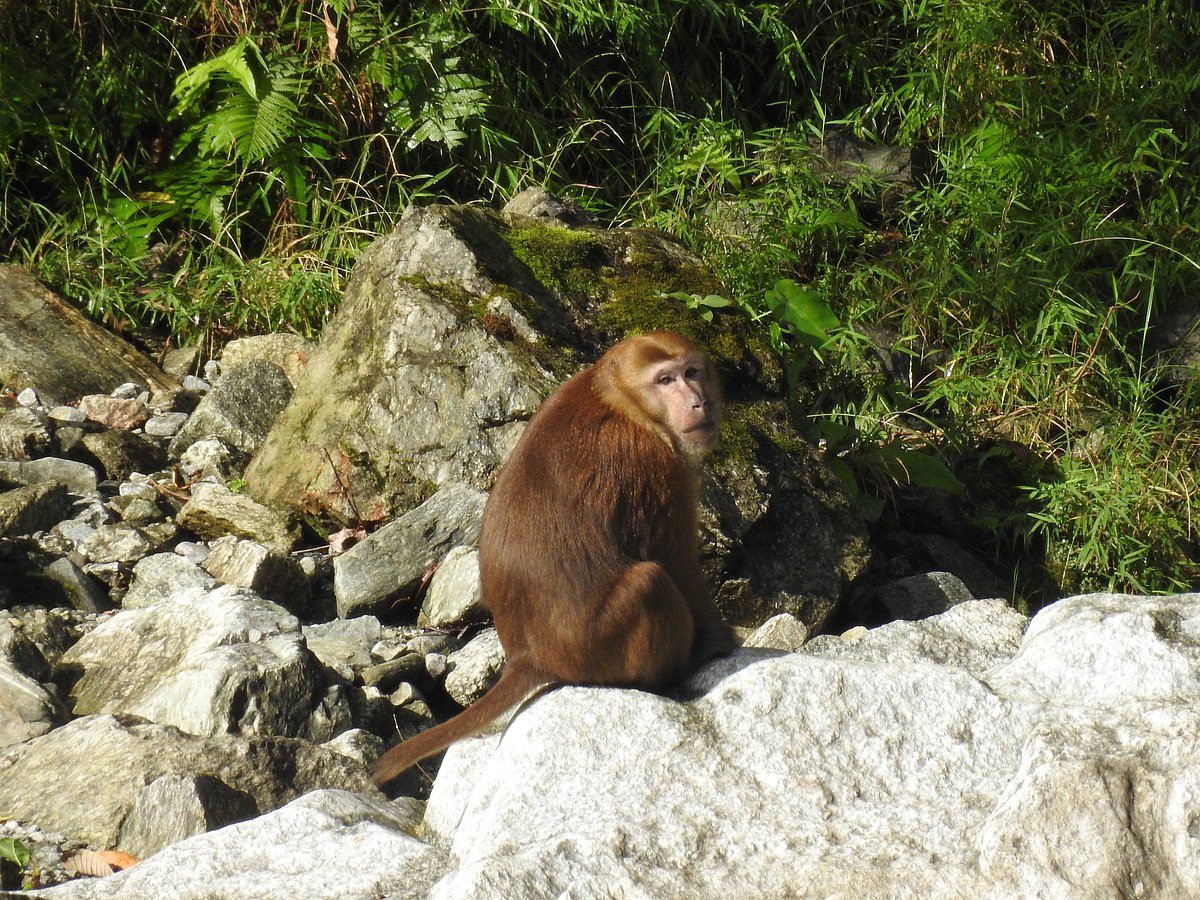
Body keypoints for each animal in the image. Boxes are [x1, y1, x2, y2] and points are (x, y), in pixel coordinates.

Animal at [371, 331, 735, 786]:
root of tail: (532, 657)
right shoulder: (658, 466)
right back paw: (676, 672)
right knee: (649, 582)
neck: (620, 400)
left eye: (692, 372)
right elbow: (675, 558)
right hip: (598, 646)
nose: (698, 401)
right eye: (665, 380)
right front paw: (720, 639)